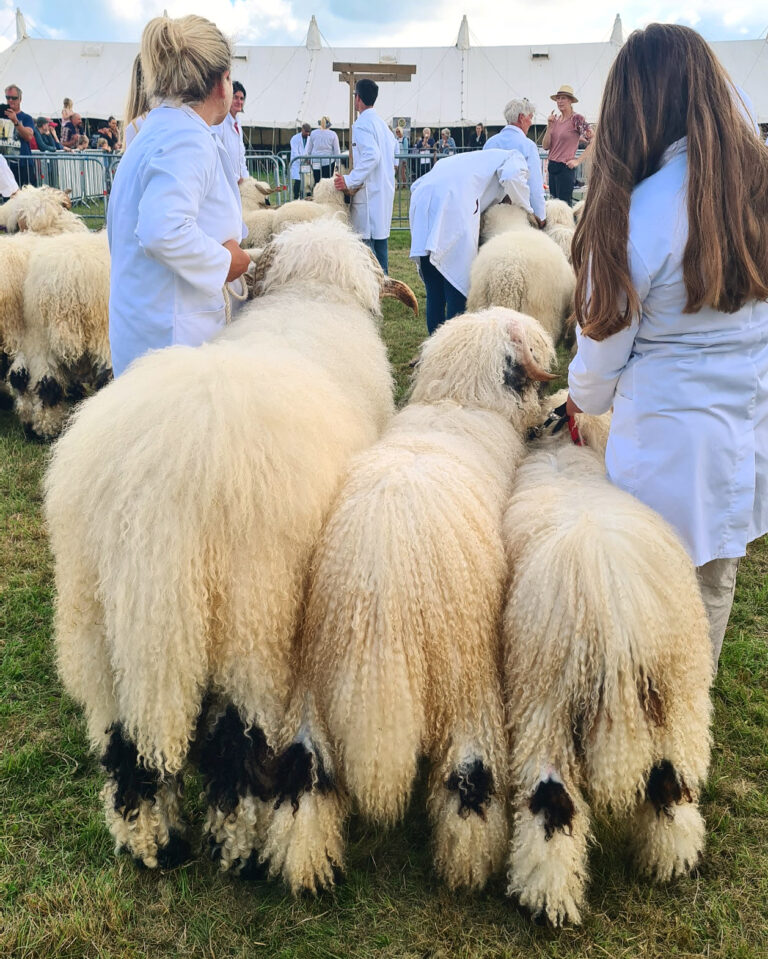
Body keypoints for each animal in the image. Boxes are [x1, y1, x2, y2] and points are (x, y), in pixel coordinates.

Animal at [45, 219, 416, 876]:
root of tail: (153, 496)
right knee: (235, 743)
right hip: (252, 615)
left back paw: (154, 845)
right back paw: (234, 846)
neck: (311, 296)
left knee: (124, 744)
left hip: (95, 619)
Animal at [260, 312, 556, 896]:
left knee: (304, 775)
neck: (459, 403)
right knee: (470, 777)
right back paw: (468, 868)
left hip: (315, 682)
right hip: (466, 674)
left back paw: (302, 867)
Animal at [500, 418, 712, 924]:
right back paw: (670, 860)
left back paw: (546, 898)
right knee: (671, 781)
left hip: (545, 699)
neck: (563, 448)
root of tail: (617, 616)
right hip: (677, 691)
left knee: (551, 800)